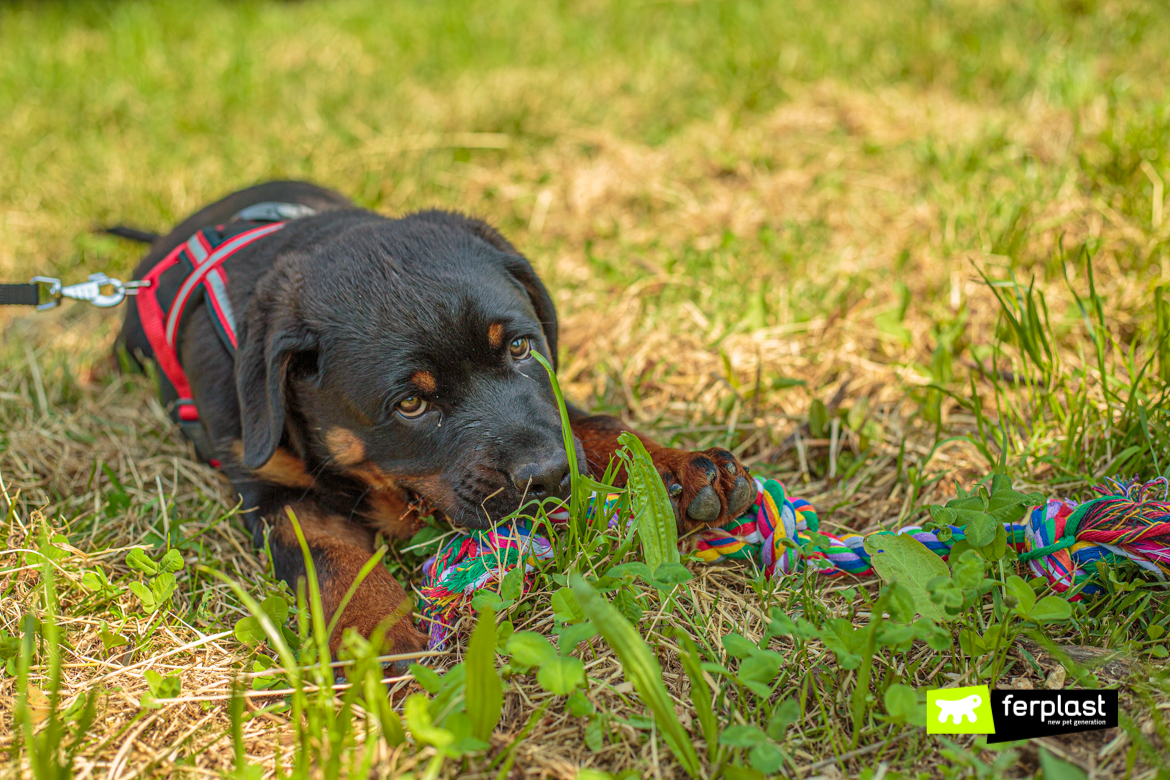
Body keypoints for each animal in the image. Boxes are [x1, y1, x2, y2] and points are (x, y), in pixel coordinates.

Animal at [116, 181, 758, 659]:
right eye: (411, 405)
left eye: (520, 348)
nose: (548, 476)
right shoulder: (273, 489)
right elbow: (336, 560)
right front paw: (382, 644)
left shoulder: (548, 400)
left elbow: (591, 423)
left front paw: (680, 469)